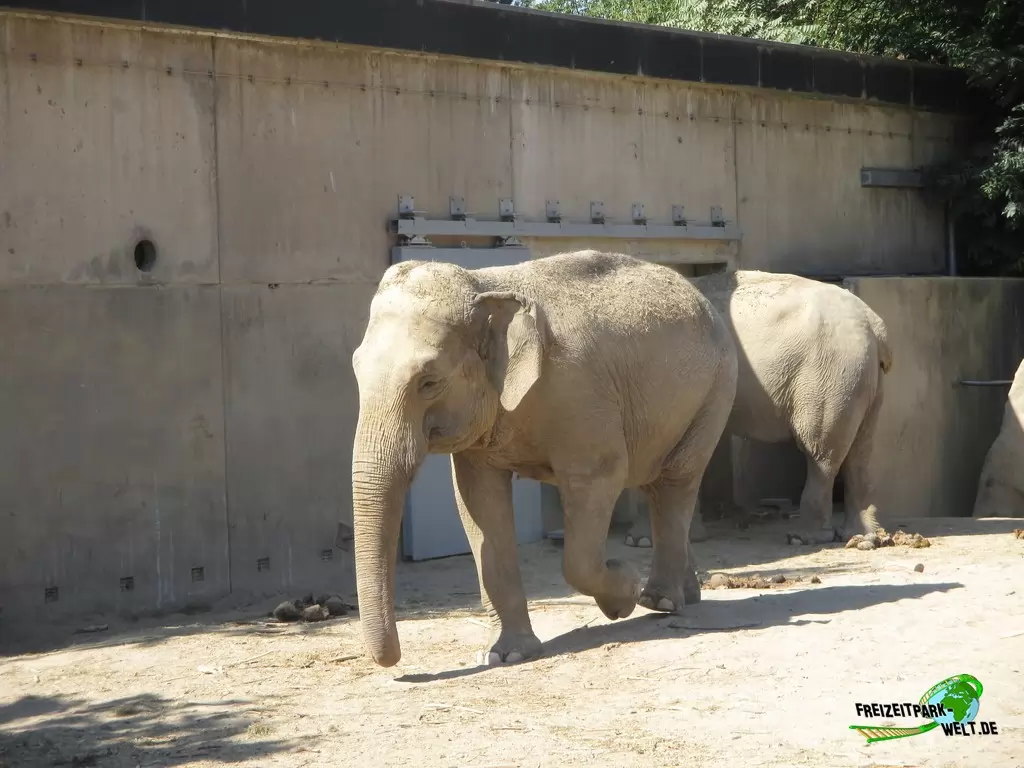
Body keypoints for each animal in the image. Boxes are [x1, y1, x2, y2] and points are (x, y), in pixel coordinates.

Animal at [349, 250, 738, 668]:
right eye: (355, 369)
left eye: (429, 382)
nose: (396, 662)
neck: (485, 285)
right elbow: (477, 500)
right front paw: (508, 655)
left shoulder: (580, 394)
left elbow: (600, 480)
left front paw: (624, 590)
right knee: (658, 483)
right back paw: (686, 596)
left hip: (716, 390)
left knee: (676, 480)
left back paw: (659, 600)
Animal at [625, 269, 891, 548]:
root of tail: (874, 324)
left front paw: (640, 540)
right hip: (863, 379)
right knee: (860, 452)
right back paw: (863, 538)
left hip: (831, 375)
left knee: (821, 451)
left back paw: (804, 537)